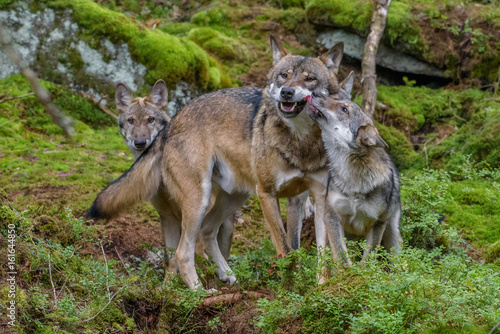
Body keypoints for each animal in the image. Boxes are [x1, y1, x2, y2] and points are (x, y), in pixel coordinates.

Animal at [114, 80, 233, 268]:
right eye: (131, 120)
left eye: (151, 119)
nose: (140, 142)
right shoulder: (167, 217)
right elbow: (171, 261)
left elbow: (197, 250)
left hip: (226, 225)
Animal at [306, 93, 404, 264]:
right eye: (337, 101)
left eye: (344, 110)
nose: (315, 92)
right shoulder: (331, 217)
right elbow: (342, 258)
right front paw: (348, 272)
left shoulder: (378, 222)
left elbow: (368, 259)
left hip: (393, 236)